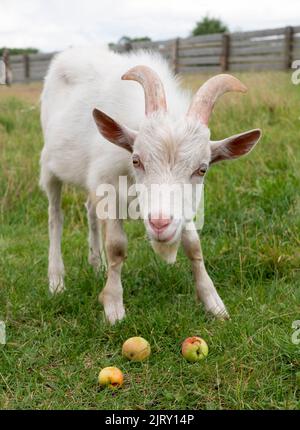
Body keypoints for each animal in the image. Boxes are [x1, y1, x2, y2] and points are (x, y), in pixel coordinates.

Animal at [39, 46, 260, 322]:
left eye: (202, 169)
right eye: (136, 160)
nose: (159, 223)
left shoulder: (181, 207)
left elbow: (194, 245)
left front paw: (214, 302)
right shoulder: (108, 186)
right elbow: (117, 246)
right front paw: (113, 306)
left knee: (90, 210)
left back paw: (96, 265)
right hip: (50, 167)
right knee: (54, 217)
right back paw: (56, 281)